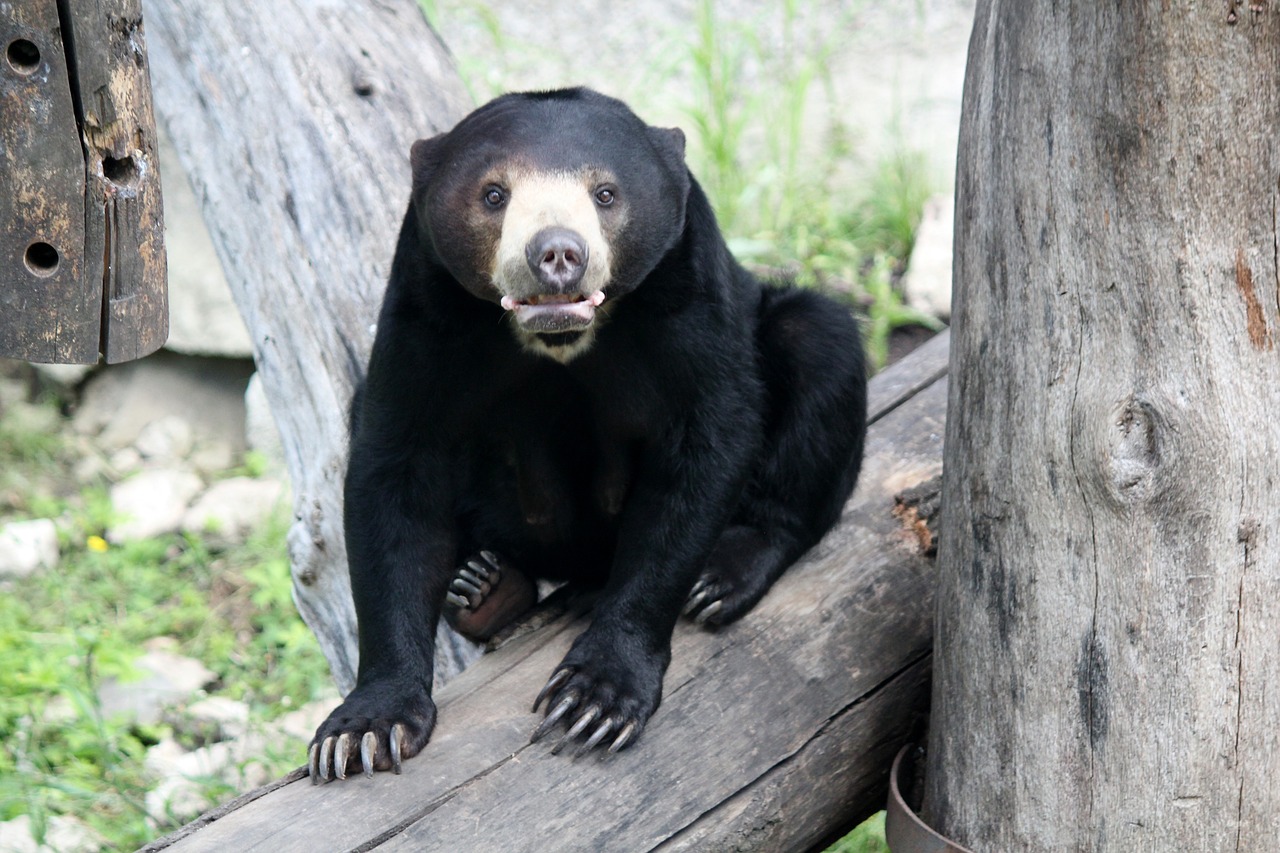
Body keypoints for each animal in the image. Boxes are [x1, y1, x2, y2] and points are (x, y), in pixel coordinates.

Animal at [309, 86, 870, 778]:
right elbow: (396, 467)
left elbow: (705, 444)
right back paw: (482, 587)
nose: (556, 254)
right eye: (494, 195)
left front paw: (593, 702)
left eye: (605, 193)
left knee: (818, 341)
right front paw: (362, 731)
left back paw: (721, 576)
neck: (560, 340)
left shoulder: (689, 291)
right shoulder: (424, 305)